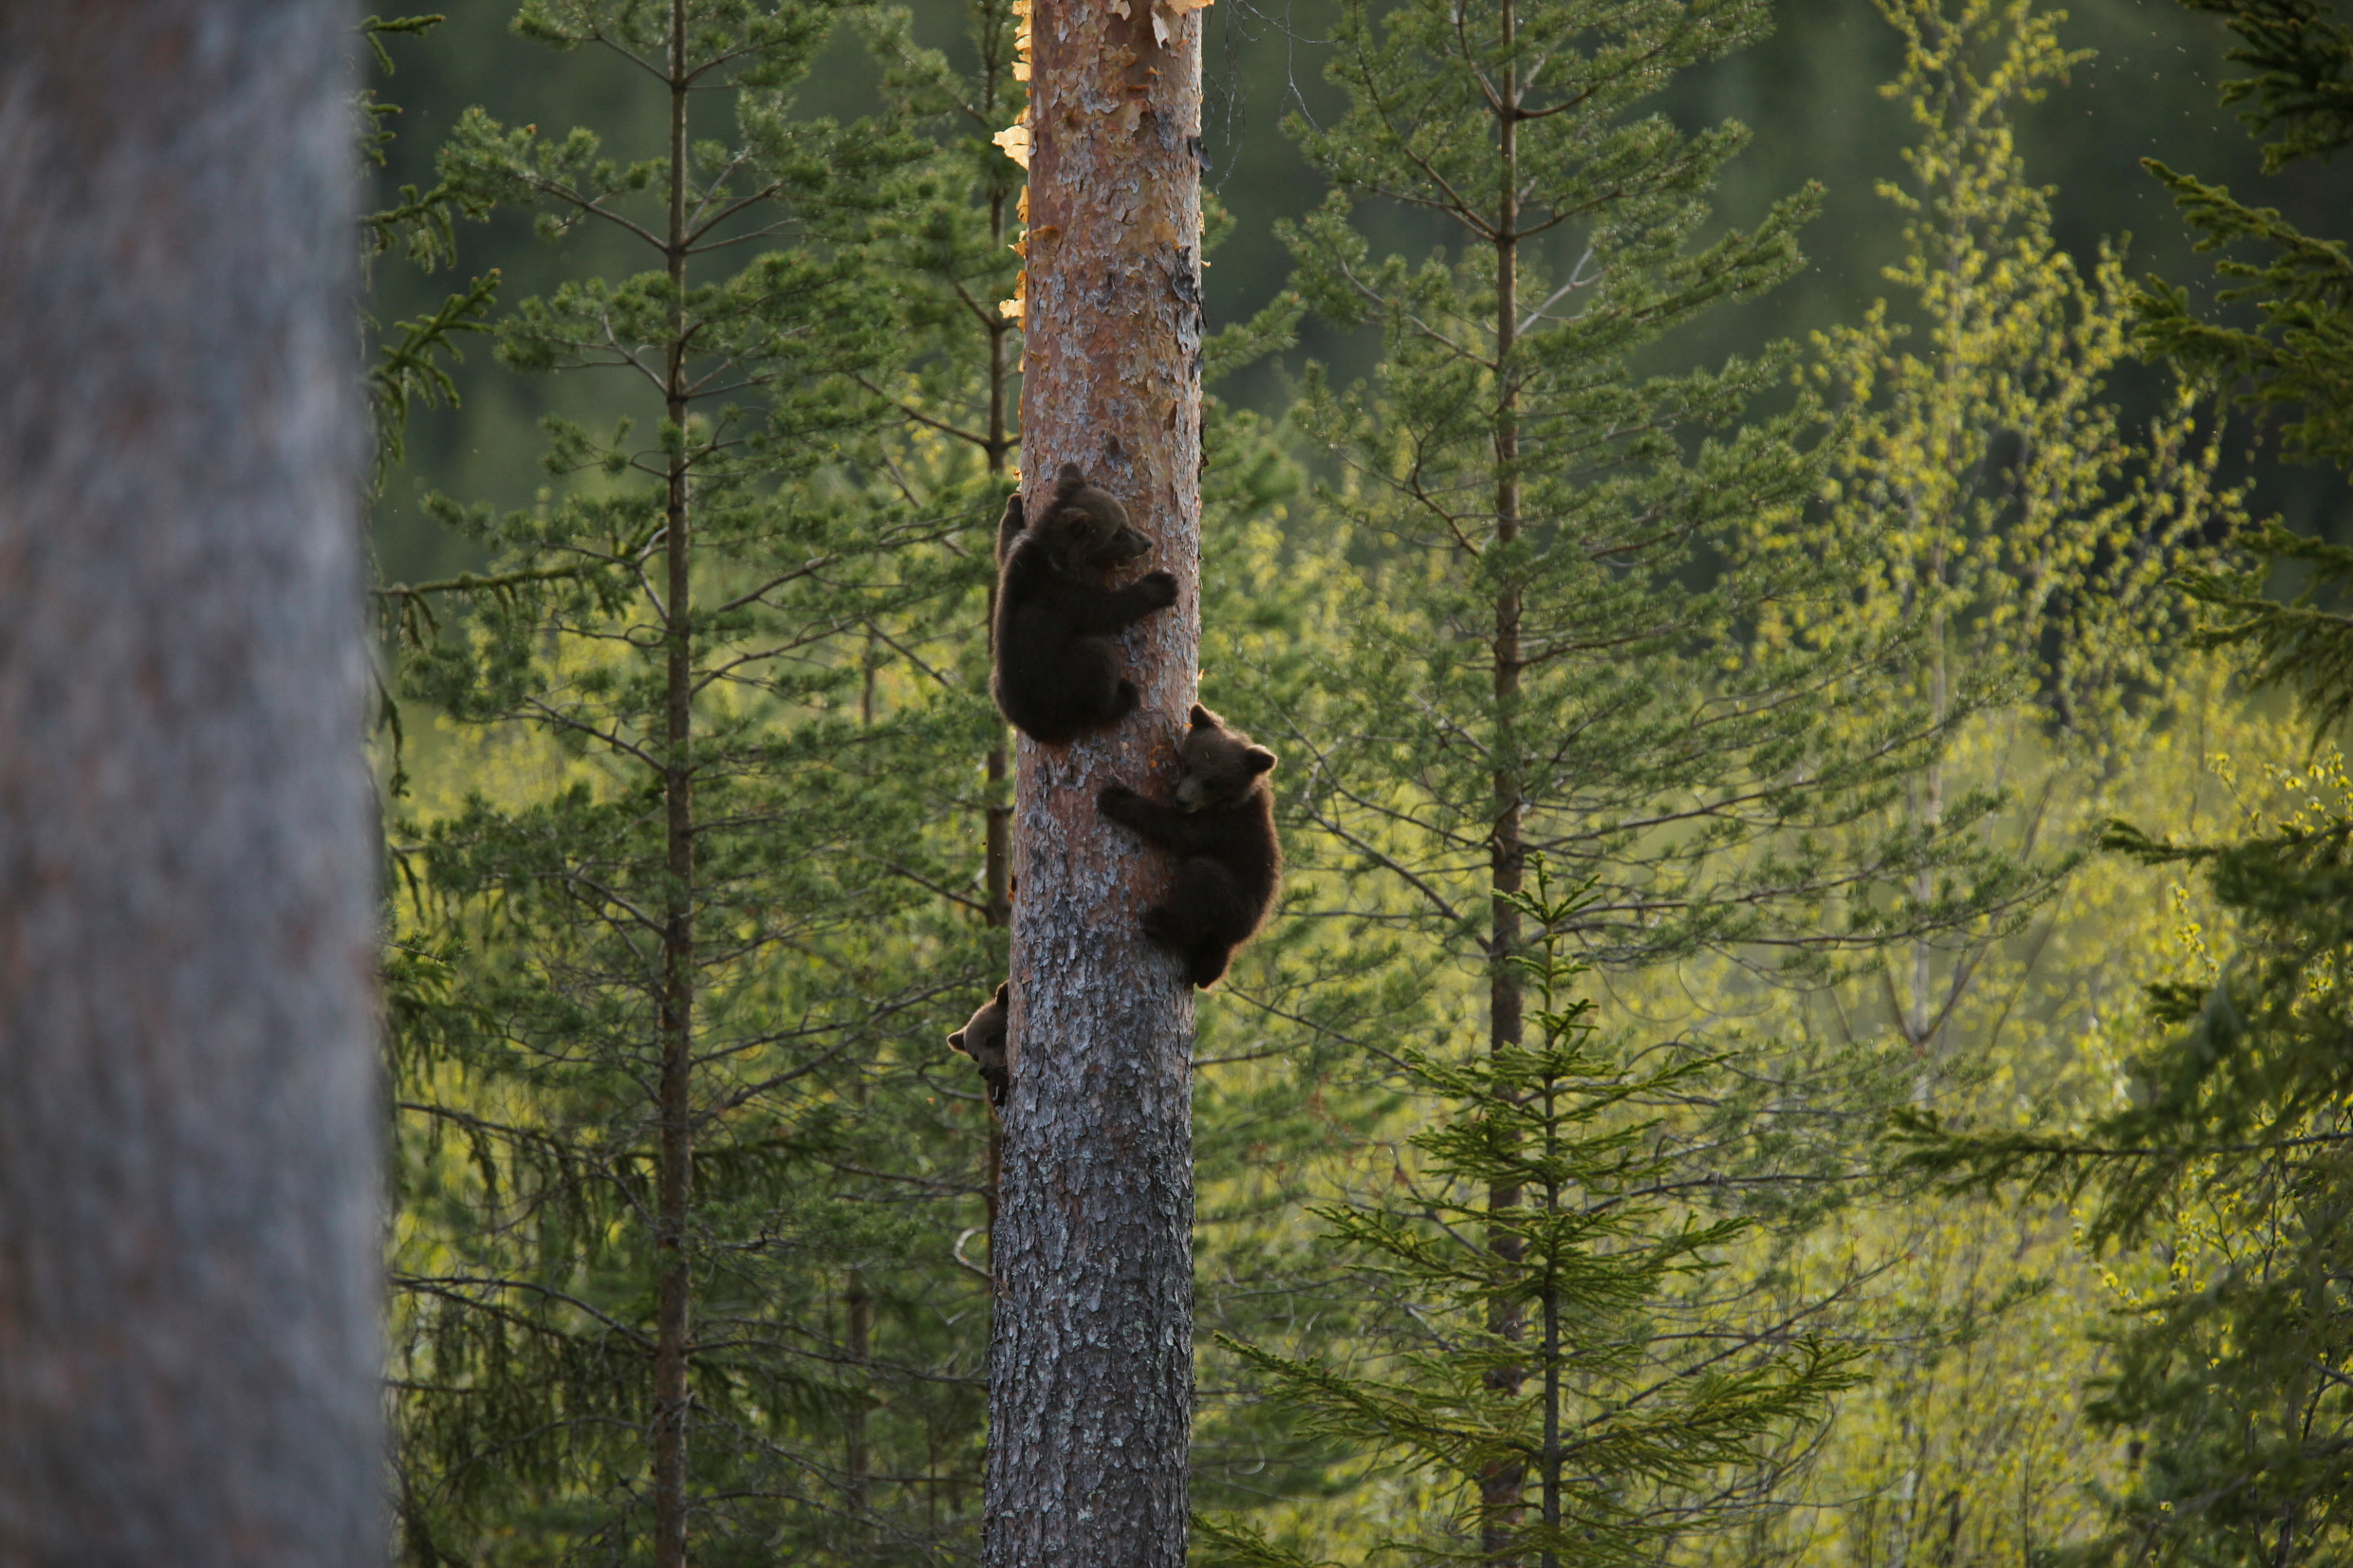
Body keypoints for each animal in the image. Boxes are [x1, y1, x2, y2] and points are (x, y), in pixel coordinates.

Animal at [992, 462, 1179, 744]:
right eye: (1118, 533)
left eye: (1125, 519)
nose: (1147, 542)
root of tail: (1039, 728)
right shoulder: (1062, 594)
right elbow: (1105, 610)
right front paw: (1162, 585)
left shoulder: (1018, 560)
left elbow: (1005, 545)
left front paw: (1014, 504)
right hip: (1058, 686)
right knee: (1096, 657)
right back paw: (1123, 696)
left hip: (998, 684)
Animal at [1097, 704, 1281, 988]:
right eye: (1189, 767)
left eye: (1213, 782)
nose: (1182, 800)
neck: (1235, 800)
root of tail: (1240, 935)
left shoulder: (1224, 827)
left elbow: (1181, 832)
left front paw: (1116, 798)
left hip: (1236, 904)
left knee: (1202, 880)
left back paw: (1161, 924)